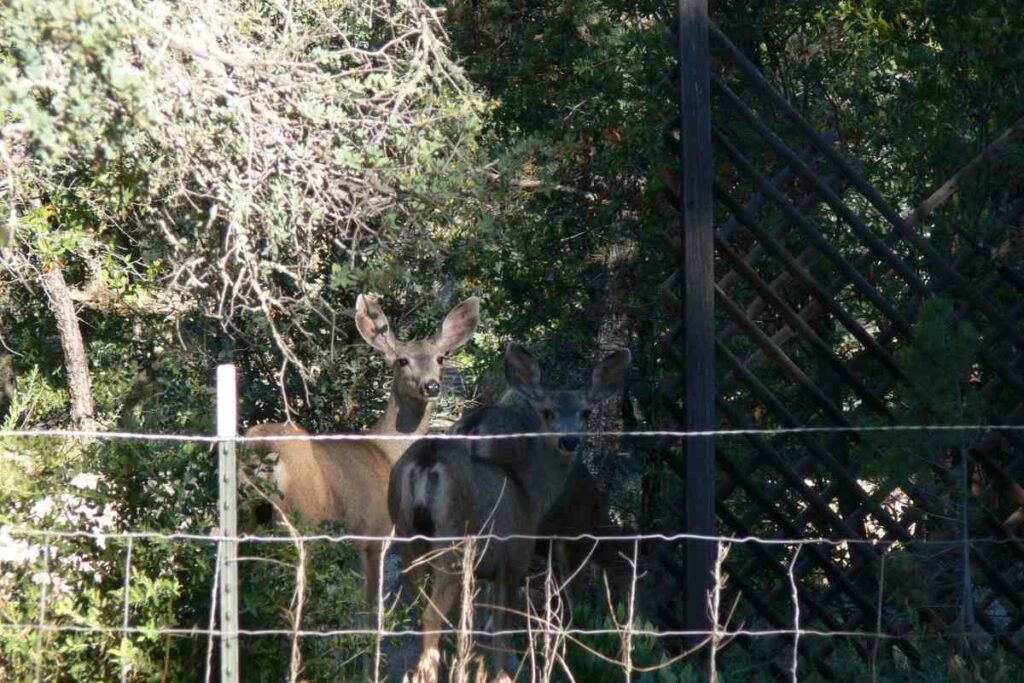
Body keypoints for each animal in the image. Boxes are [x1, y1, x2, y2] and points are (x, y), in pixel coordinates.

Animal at [244, 294, 480, 614]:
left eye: (440, 358)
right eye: (402, 360)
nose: (431, 385)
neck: (385, 452)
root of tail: (263, 452)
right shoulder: (375, 530)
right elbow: (371, 604)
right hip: (301, 518)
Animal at [388, 343, 631, 682]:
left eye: (586, 412)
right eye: (547, 412)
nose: (569, 440)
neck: (528, 492)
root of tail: (426, 460)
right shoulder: (514, 559)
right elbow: (498, 630)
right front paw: (504, 673)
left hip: (407, 535)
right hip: (453, 544)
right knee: (432, 617)